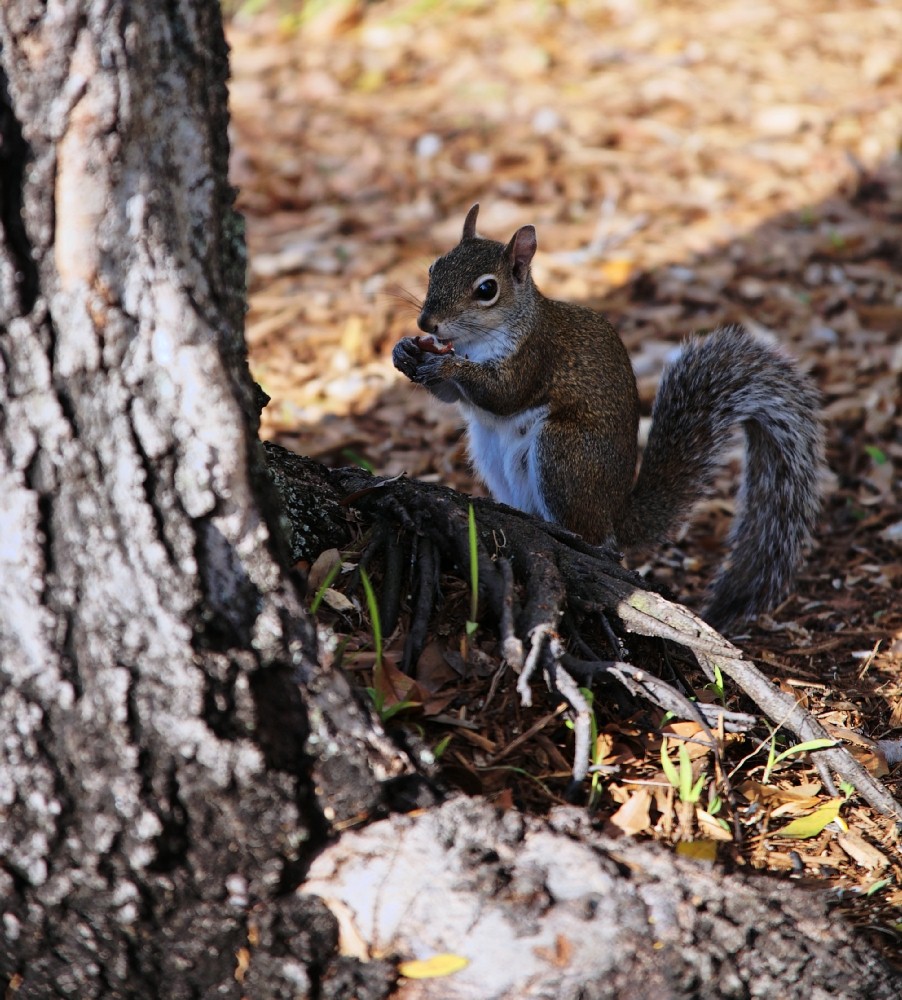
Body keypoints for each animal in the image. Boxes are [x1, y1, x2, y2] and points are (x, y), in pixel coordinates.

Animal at [396, 204, 828, 628]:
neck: (477, 341)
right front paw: (404, 352)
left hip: (565, 454)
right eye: (434, 267)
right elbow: (452, 395)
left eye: (486, 289)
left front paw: (447, 366)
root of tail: (615, 515)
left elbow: (504, 394)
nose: (426, 323)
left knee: (595, 540)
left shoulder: (536, 358)